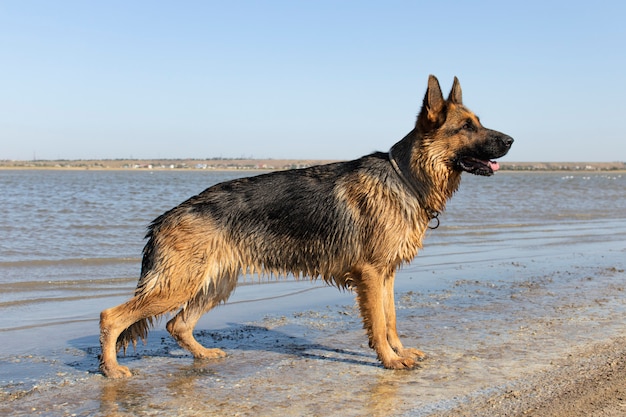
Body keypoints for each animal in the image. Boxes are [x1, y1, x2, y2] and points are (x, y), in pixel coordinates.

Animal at [98, 75, 512, 376]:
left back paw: (201, 355)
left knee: (177, 325)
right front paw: (389, 360)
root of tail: (163, 218)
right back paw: (112, 370)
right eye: (467, 126)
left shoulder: (387, 275)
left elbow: (392, 320)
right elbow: (379, 323)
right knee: (111, 316)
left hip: (214, 284)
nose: (511, 139)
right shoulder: (371, 275)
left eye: (478, 123)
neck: (405, 178)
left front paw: (399, 351)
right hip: (178, 285)